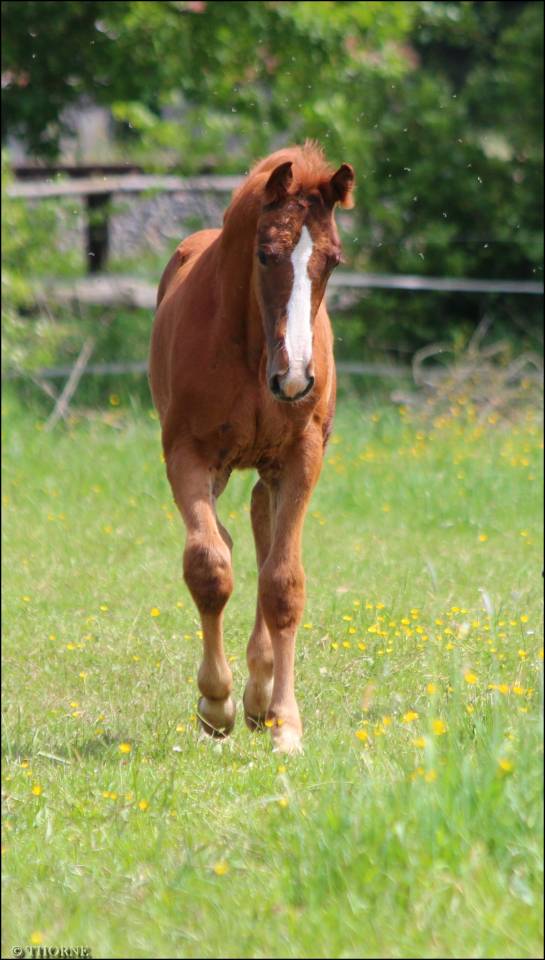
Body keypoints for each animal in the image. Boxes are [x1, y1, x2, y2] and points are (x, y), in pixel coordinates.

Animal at [149, 141, 354, 754]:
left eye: (333, 260)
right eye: (266, 255)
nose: (297, 379)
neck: (250, 350)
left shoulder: (300, 459)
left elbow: (283, 584)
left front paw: (285, 723)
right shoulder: (188, 456)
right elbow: (209, 567)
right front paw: (215, 704)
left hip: (269, 469)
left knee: (264, 536)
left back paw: (262, 696)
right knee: (230, 537)